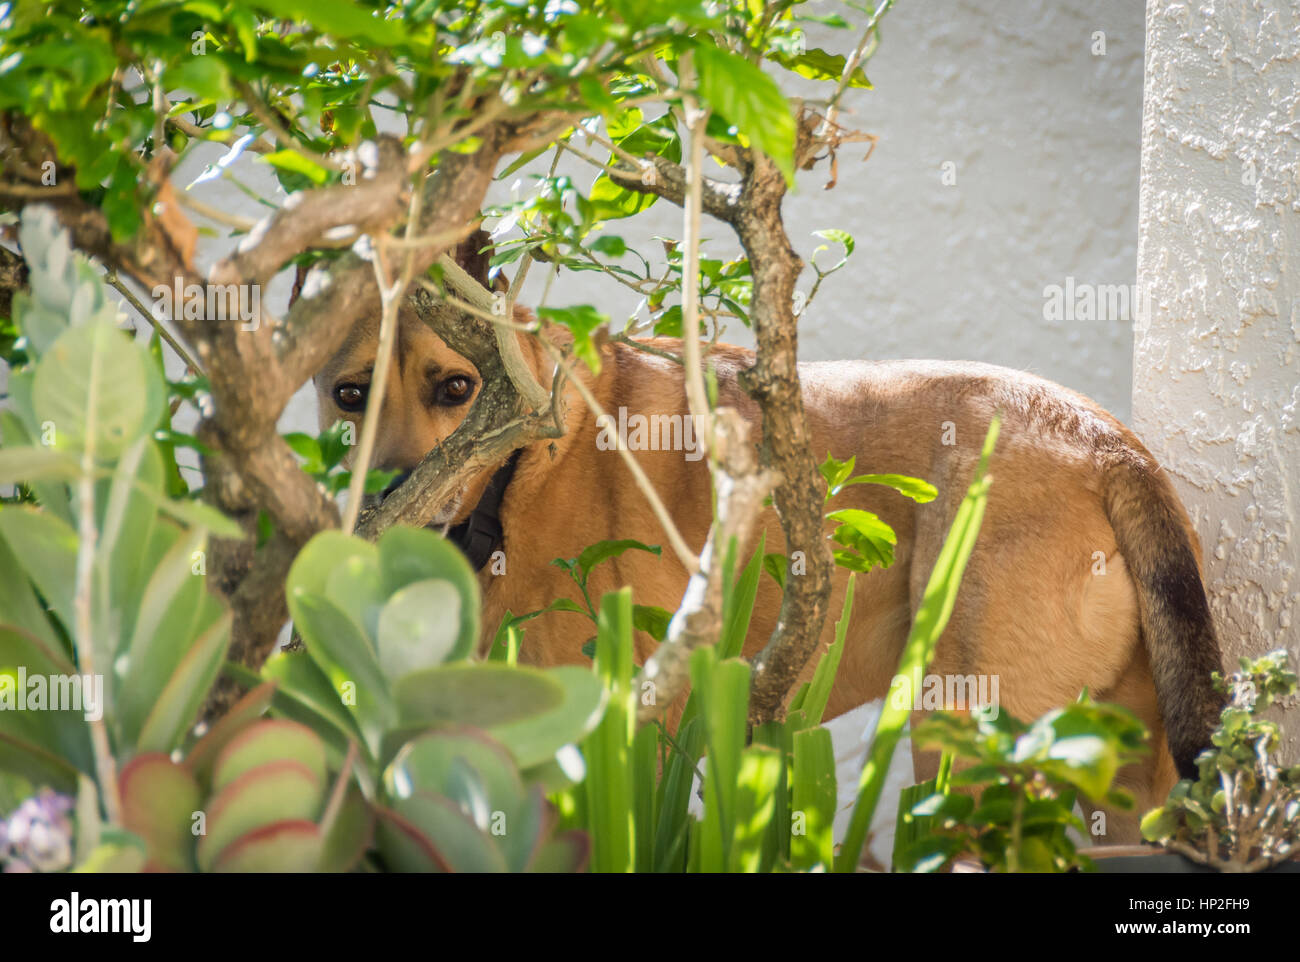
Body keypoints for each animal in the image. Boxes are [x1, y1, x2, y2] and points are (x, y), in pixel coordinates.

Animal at [314, 249, 1216, 842]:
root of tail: (1109, 444)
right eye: (348, 395)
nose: (391, 491)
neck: (523, 464)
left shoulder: (633, 731)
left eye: (456, 388)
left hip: (963, 746)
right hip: (1120, 786)